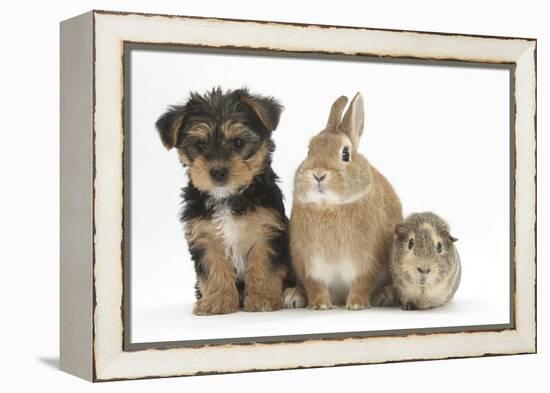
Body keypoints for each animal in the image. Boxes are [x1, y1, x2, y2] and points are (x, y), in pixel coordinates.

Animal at [155, 87, 294, 314]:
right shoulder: (204, 236)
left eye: (238, 143)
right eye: (200, 144)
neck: (227, 197)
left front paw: (262, 298)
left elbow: (263, 265)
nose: (218, 171)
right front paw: (218, 301)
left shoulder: (266, 231)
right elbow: (214, 269)